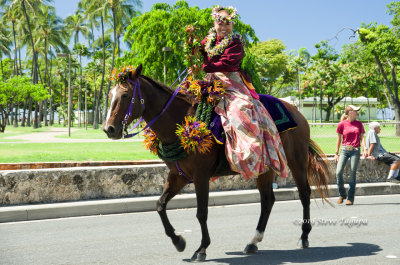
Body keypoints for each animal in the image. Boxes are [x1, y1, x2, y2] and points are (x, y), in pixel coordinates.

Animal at [102, 64, 332, 262]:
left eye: (125, 95)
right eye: (110, 95)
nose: (108, 129)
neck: (181, 121)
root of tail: (296, 111)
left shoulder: (201, 176)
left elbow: (201, 212)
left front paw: (201, 249)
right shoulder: (178, 176)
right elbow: (160, 205)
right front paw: (178, 241)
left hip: (297, 161)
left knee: (304, 194)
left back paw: (304, 237)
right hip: (264, 167)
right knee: (268, 200)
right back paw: (253, 241)